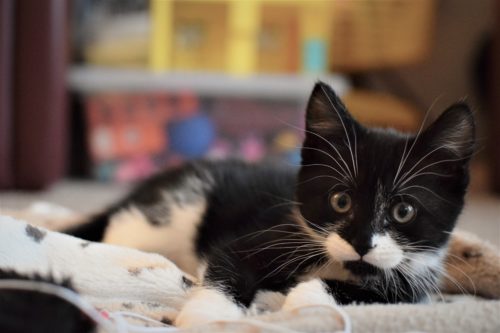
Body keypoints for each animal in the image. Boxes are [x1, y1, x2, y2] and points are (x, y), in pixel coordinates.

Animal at [65, 81, 472, 326]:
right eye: (340, 200)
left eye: (404, 211)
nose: (361, 242)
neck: (340, 263)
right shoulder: (264, 235)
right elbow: (228, 266)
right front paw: (209, 318)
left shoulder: (410, 290)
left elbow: (364, 294)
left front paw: (300, 302)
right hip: (164, 216)